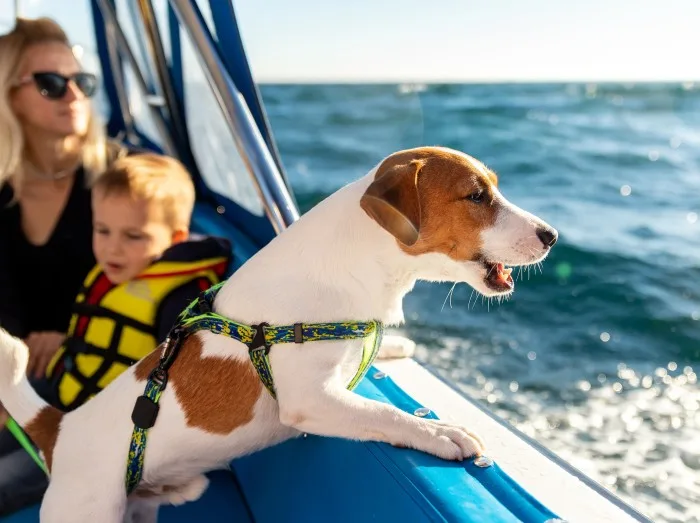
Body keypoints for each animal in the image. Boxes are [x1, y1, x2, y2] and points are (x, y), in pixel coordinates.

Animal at [0, 145, 556, 520]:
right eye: (476, 195)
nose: (551, 235)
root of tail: (60, 430)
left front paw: (395, 346)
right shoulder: (312, 400)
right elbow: (385, 414)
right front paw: (441, 433)